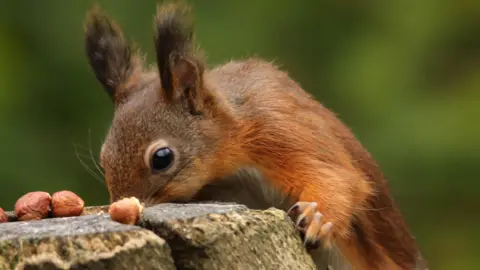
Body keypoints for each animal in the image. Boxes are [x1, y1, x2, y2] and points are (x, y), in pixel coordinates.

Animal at [83, 2, 428, 270]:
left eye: (161, 158)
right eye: (104, 157)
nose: (121, 205)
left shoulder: (279, 126)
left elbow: (337, 177)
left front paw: (317, 218)